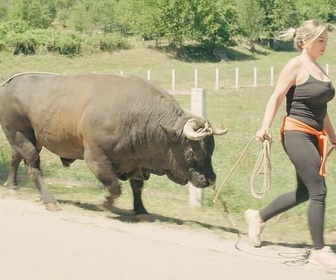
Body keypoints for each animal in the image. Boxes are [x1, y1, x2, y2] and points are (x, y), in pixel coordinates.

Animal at [0, 72, 228, 217]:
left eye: (211, 150)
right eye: (191, 153)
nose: (210, 179)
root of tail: (9, 84)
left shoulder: (136, 161)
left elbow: (137, 186)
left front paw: (141, 211)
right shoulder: (96, 158)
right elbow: (115, 186)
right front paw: (104, 203)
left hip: (31, 140)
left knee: (15, 157)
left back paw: (12, 187)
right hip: (23, 137)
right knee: (33, 167)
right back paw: (50, 201)